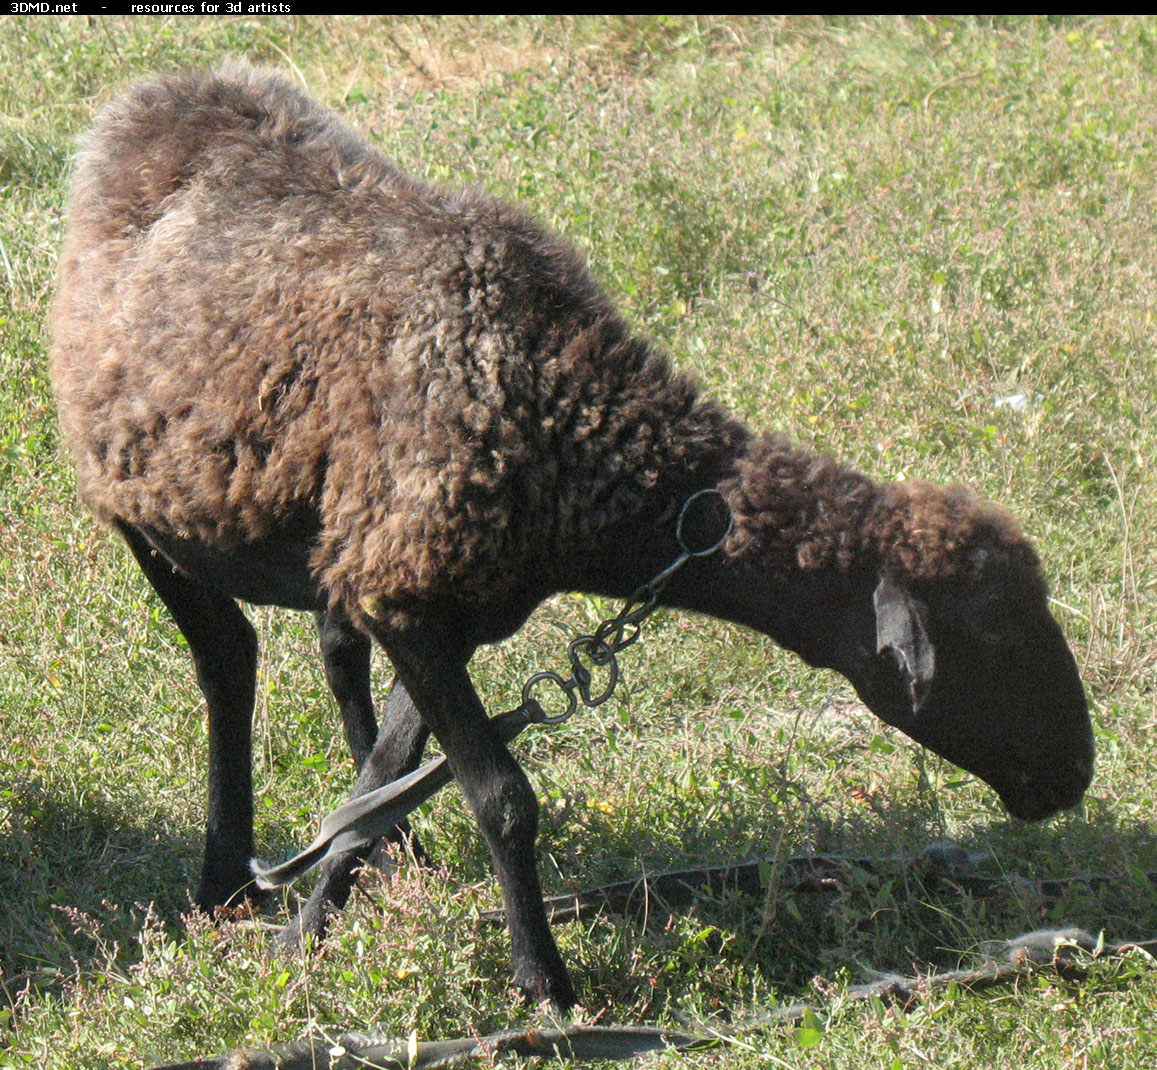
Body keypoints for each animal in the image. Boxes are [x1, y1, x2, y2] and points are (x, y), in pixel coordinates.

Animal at [47, 62, 1092, 1004]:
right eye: (996, 635)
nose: (1075, 776)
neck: (575, 429)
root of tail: (154, 99)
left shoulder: (440, 606)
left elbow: (381, 783)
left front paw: (314, 927)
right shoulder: (411, 596)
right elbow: (502, 799)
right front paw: (542, 985)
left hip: (330, 532)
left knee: (330, 650)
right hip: (136, 504)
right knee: (226, 656)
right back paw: (223, 879)